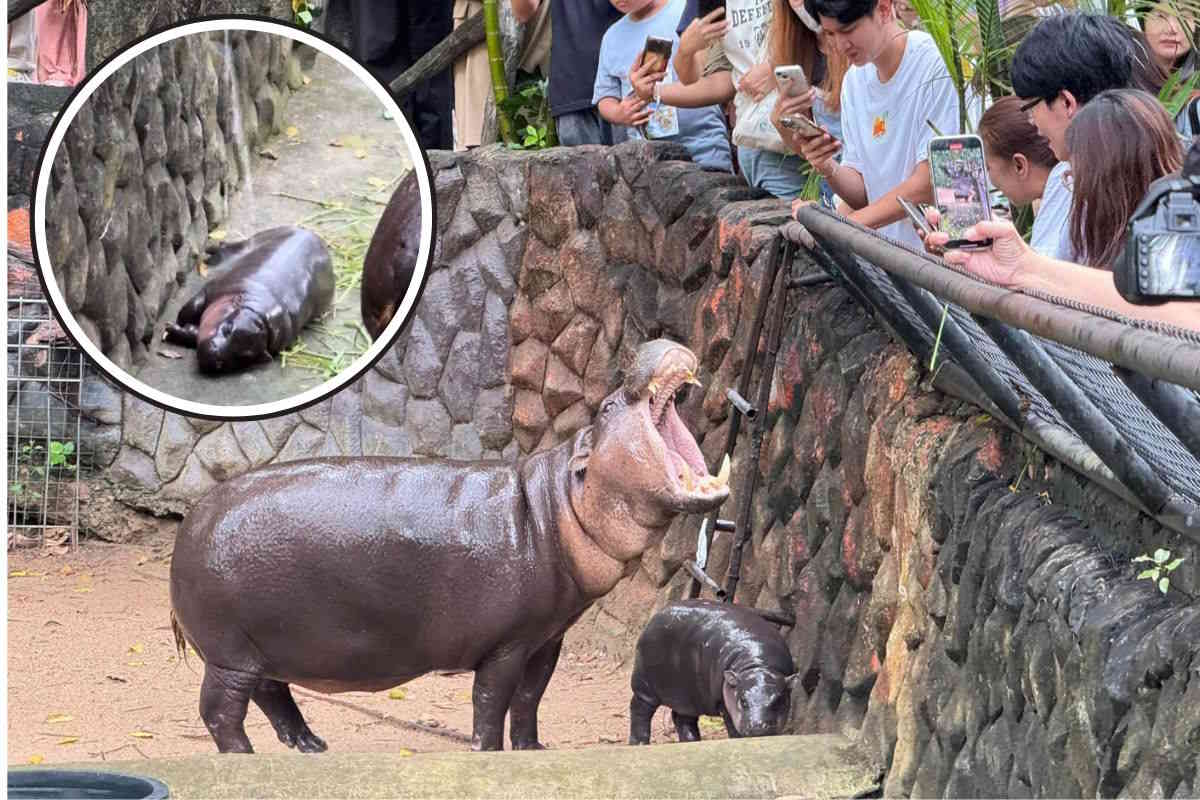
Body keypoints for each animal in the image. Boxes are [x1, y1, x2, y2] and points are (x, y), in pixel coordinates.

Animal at [163, 226, 333, 374]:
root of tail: (314, 236)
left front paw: (178, 330)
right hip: (252, 242)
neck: (258, 313)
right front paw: (172, 328)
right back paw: (211, 252)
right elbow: (191, 308)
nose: (214, 357)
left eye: (245, 356)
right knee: (230, 247)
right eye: (227, 329)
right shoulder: (210, 290)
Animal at [169, 340, 729, 753]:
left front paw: (533, 751)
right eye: (608, 406)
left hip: (262, 647)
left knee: (271, 693)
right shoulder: (505, 646)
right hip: (228, 653)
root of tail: (191, 518)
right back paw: (246, 756)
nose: (650, 344)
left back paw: (311, 745)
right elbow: (492, 703)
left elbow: (531, 700)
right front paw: (489, 752)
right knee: (221, 712)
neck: (555, 507)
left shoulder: (547, 638)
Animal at [628, 599, 796, 743]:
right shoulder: (724, 702)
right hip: (644, 685)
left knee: (682, 719)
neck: (757, 664)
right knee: (639, 710)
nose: (758, 727)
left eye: (778, 701)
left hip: (687, 696)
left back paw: (692, 741)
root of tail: (655, 616)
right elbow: (732, 726)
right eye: (743, 701)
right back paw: (639, 743)